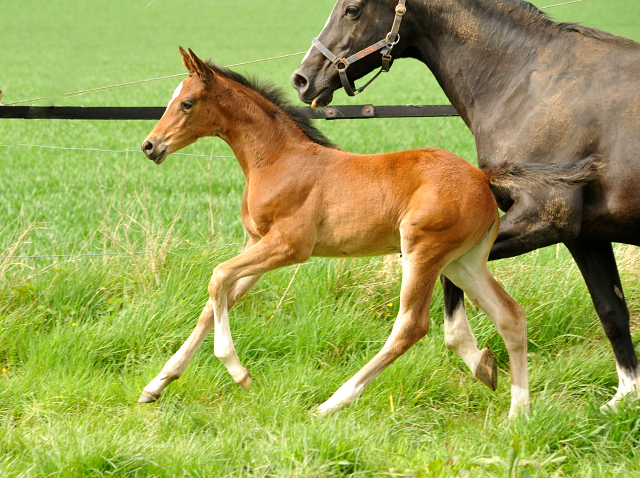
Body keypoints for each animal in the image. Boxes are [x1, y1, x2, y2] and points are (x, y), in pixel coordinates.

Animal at [140, 46, 528, 416]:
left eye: (187, 103)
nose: (149, 145)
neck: (278, 160)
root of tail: (482, 180)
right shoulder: (257, 242)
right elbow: (215, 301)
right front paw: (157, 384)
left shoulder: (290, 246)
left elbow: (218, 276)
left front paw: (239, 373)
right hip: (464, 262)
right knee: (510, 315)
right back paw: (516, 411)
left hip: (423, 251)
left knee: (411, 326)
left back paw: (332, 403)